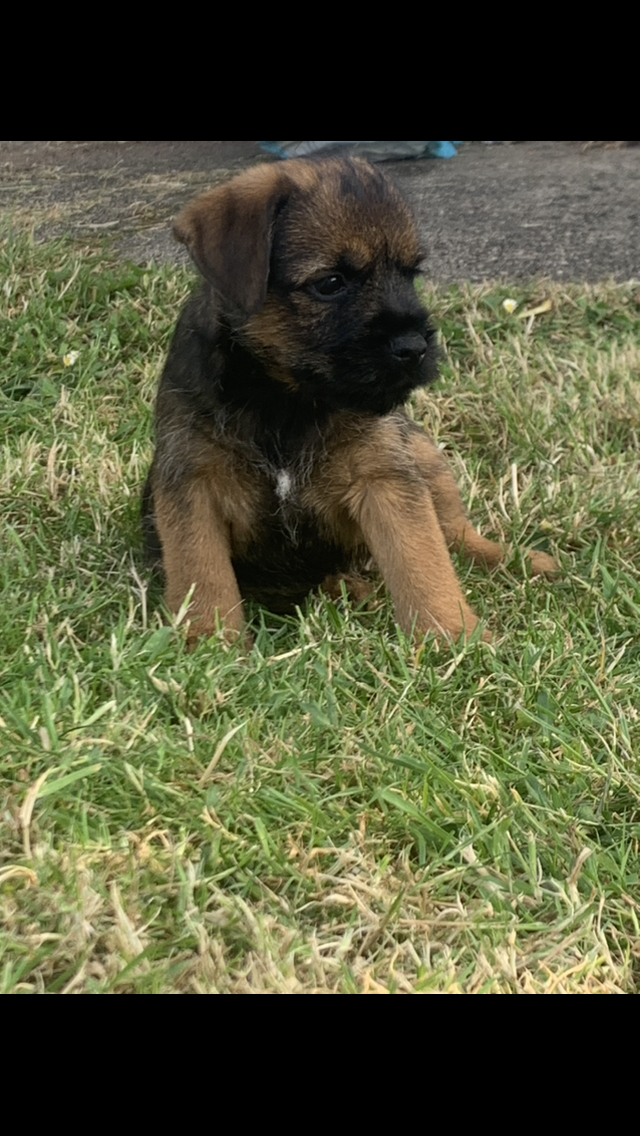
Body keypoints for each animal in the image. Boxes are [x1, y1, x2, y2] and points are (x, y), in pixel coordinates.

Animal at [142, 157, 559, 649]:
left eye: (410, 274)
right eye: (331, 283)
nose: (415, 347)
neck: (286, 400)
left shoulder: (385, 477)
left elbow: (423, 560)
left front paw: (454, 636)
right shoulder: (192, 482)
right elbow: (201, 572)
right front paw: (208, 642)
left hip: (420, 450)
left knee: (455, 534)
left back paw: (521, 560)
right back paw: (346, 588)